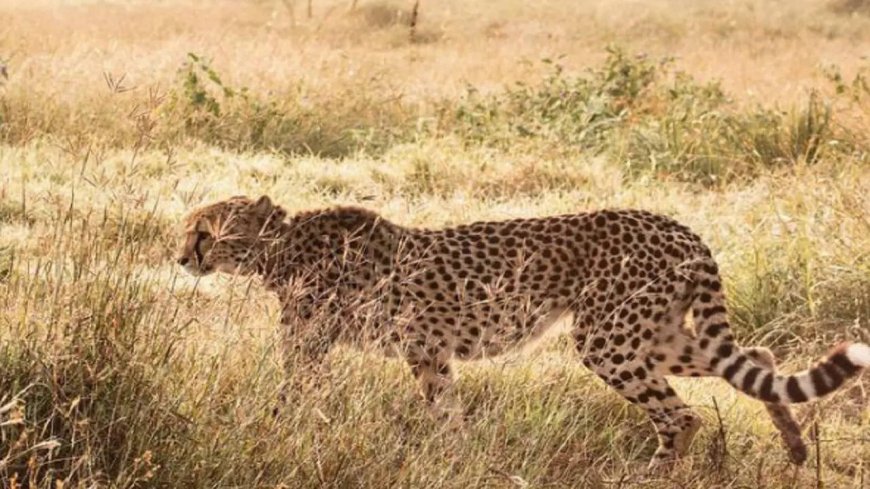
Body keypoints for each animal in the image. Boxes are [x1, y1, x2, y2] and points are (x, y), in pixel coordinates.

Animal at [175, 195, 870, 469]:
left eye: (207, 231)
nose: (182, 257)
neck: (279, 248)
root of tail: (674, 225)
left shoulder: (314, 346)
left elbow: (289, 396)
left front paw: (268, 433)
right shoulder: (428, 352)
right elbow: (447, 413)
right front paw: (458, 458)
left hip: (609, 340)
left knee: (683, 414)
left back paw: (650, 474)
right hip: (653, 335)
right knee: (755, 354)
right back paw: (795, 447)